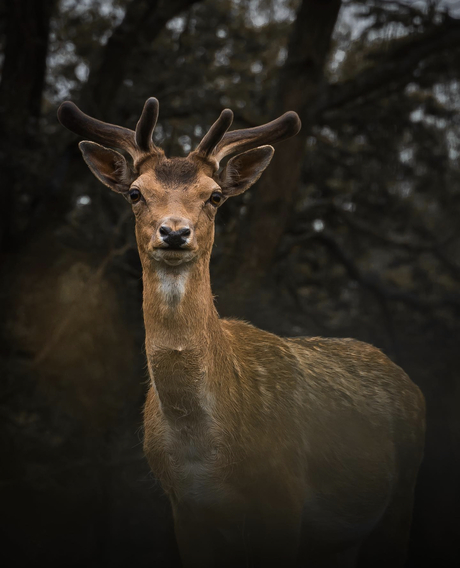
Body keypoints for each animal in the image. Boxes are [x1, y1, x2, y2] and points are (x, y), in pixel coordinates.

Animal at [58, 98, 428, 568]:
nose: (175, 232)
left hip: (403, 493)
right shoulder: (184, 507)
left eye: (214, 196)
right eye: (135, 193)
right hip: (341, 539)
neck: (203, 446)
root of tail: (408, 381)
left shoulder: (286, 496)